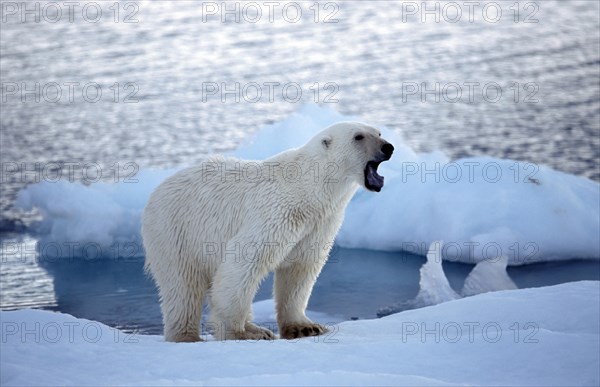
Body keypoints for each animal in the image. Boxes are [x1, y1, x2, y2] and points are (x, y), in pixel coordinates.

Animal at [141, 123, 394, 342]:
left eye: (379, 132)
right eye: (358, 136)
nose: (388, 147)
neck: (308, 189)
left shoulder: (319, 223)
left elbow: (300, 270)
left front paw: (305, 327)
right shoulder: (275, 211)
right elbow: (244, 262)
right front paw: (239, 333)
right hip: (175, 231)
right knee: (183, 286)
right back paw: (188, 336)